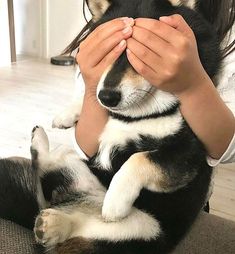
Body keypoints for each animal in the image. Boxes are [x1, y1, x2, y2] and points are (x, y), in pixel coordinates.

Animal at [0, 0, 221, 254]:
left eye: (146, 57)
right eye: (106, 53)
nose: (107, 97)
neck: (134, 116)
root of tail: (72, 202)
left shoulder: (186, 153)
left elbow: (139, 158)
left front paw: (115, 199)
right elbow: (87, 97)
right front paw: (68, 114)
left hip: (141, 228)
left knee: (78, 225)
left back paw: (62, 222)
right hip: (75, 164)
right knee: (46, 169)